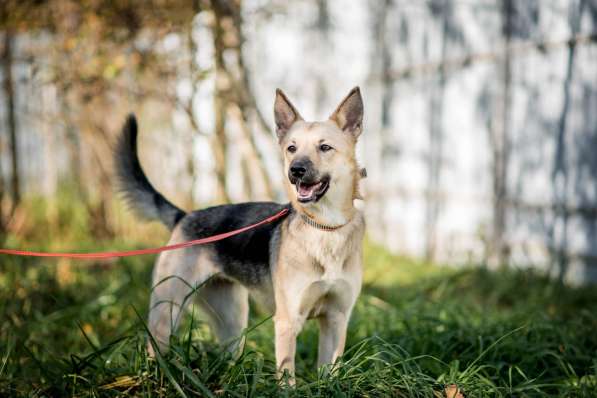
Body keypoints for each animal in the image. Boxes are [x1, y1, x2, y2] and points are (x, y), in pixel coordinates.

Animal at [112, 86, 364, 380]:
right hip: (168, 309)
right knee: (155, 345)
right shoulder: (288, 321)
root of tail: (184, 216)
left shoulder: (336, 319)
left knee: (227, 356)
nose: (296, 171)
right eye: (291, 148)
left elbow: (330, 372)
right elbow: (286, 372)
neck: (325, 228)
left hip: (233, 318)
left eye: (325, 147)